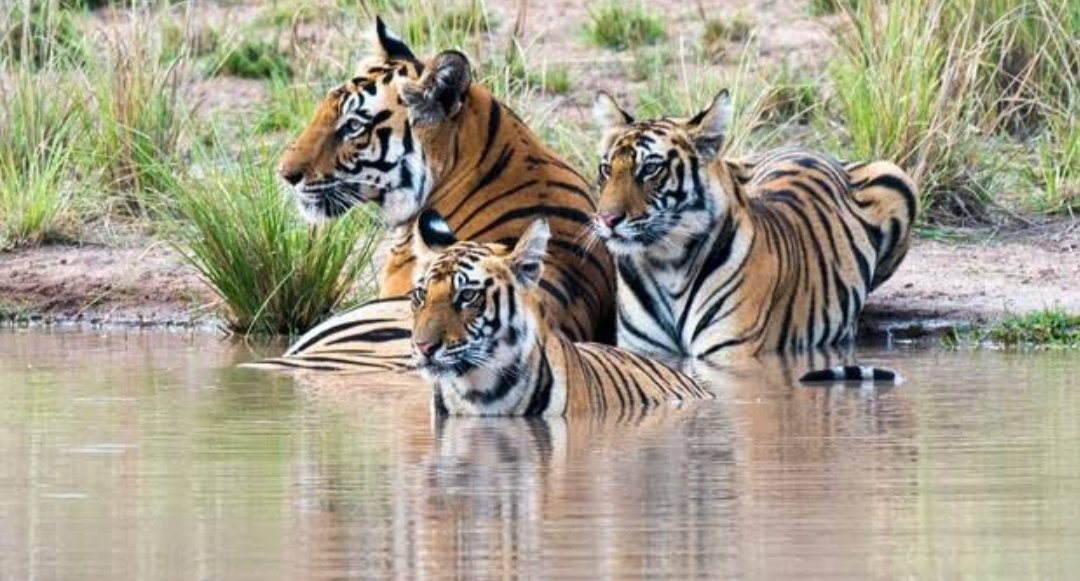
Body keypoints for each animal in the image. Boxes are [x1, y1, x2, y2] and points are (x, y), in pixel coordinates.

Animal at [590, 89, 918, 361]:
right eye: (606, 169)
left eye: (650, 169)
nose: (606, 219)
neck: (665, 263)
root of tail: (806, 148)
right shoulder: (644, 353)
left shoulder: (728, 352)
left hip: (897, 176)